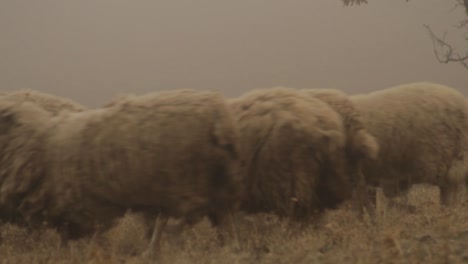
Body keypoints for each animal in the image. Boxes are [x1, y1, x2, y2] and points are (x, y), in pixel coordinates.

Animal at [0, 88, 241, 256]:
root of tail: (219, 116)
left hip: (188, 181)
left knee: (193, 214)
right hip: (211, 182)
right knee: (220, 217)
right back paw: (228, 248)